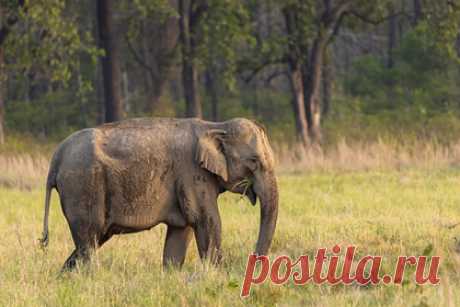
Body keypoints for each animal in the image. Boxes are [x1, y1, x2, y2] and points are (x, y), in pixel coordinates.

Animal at [40, 116, 276, 270]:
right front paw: (215, 275)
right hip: (83, 186)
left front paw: (172, 275)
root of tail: (56, 158)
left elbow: (181, 231)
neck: (215, 125)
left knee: (91, 240)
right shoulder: (192, 173)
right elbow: (206, 221)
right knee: (89, 238)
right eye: (254, 161)